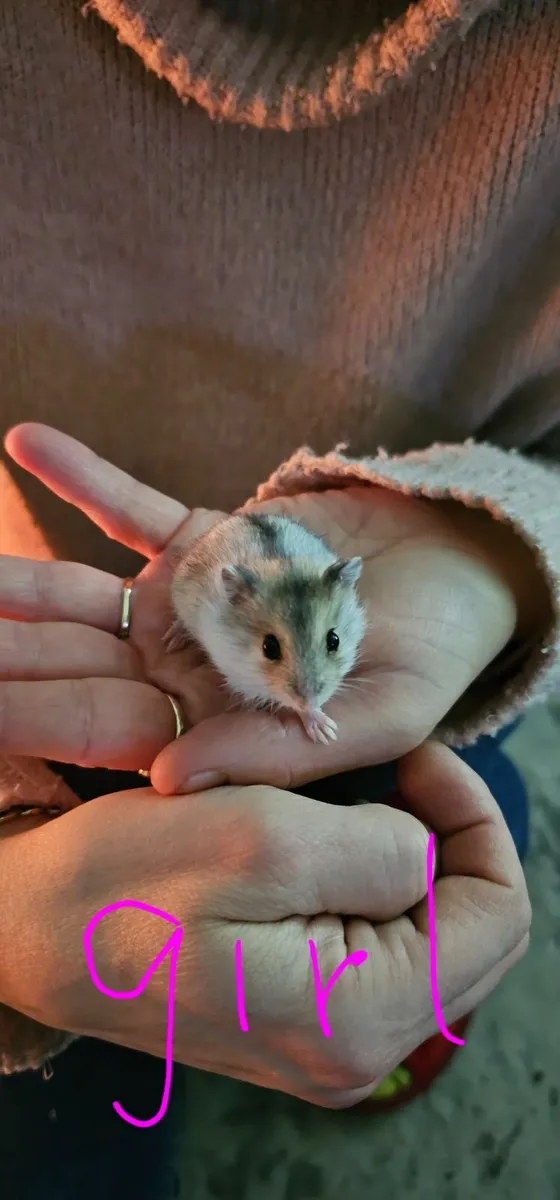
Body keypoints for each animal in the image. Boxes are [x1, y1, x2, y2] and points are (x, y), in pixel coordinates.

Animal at [164, 512, 366, 744]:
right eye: (269, 648)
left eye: (335, 640)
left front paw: (327, 732)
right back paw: (172, 641)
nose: (309, 701)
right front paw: (325, 731)